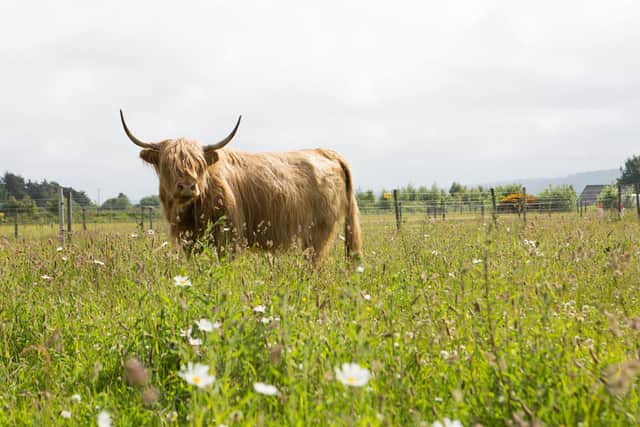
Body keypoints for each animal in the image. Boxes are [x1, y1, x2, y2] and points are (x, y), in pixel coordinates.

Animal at [119, 109, 360, 264]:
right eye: (168, 163)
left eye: (198, 164)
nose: (187, 187)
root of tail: (326, 152)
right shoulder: (187, 240)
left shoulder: (230, 237)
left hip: (318, 232)